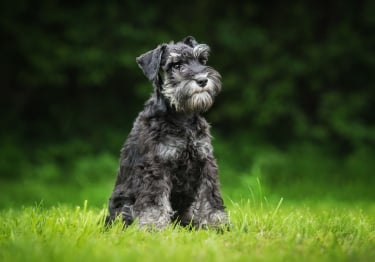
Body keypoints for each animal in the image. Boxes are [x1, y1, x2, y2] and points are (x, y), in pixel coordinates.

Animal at [106, 35, 229, 229]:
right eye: (176, 65)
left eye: (202, 60)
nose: (202, 80)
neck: (182, 117)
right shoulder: (156, 165)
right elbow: (154, 201)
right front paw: (153, 225)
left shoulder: (205, 161)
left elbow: (210, 196)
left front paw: (216, 224)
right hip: (122, 205)